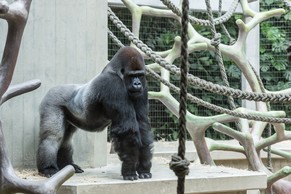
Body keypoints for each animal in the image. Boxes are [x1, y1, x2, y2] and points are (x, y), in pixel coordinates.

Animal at [37, 46, 154, 180]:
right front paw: (129, 170)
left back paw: (68, 165)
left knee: (66, 139)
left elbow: (142, 125)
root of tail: (51, 89)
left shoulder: (144, 88)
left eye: (140, 75)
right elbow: (126, 128)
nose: (137, 84)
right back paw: (48, 168)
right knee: (52, 137)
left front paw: (144, 168)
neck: (115, 71)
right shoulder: (112, 84)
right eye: (132, 75)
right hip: (51, 101)